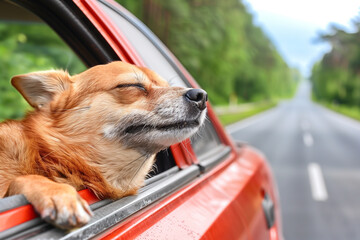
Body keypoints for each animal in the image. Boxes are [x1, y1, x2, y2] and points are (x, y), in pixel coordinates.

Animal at [0, 61, 208, 229]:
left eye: (167, 86)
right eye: (132, 85)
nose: (201, 95)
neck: (49, 158)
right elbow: (28, 178)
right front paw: (59, 193)